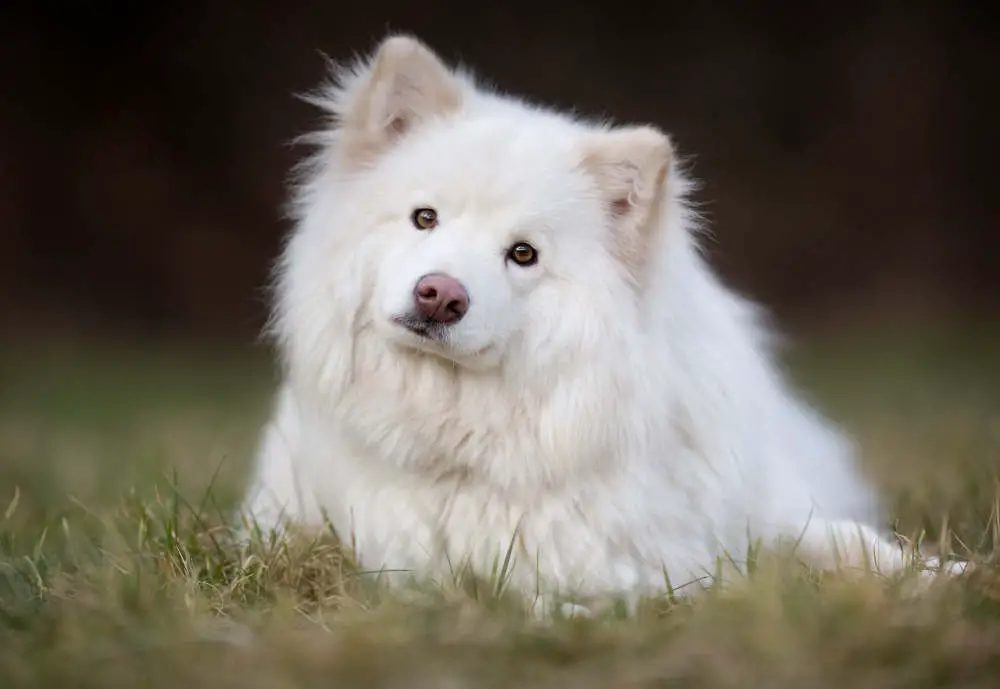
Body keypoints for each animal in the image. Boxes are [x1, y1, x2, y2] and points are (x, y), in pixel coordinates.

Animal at [238, 36, 956, 608]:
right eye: (424, 218)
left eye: (523, 254)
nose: (440, 295)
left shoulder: (745, 519)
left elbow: (846, 543)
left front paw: (946, 576)